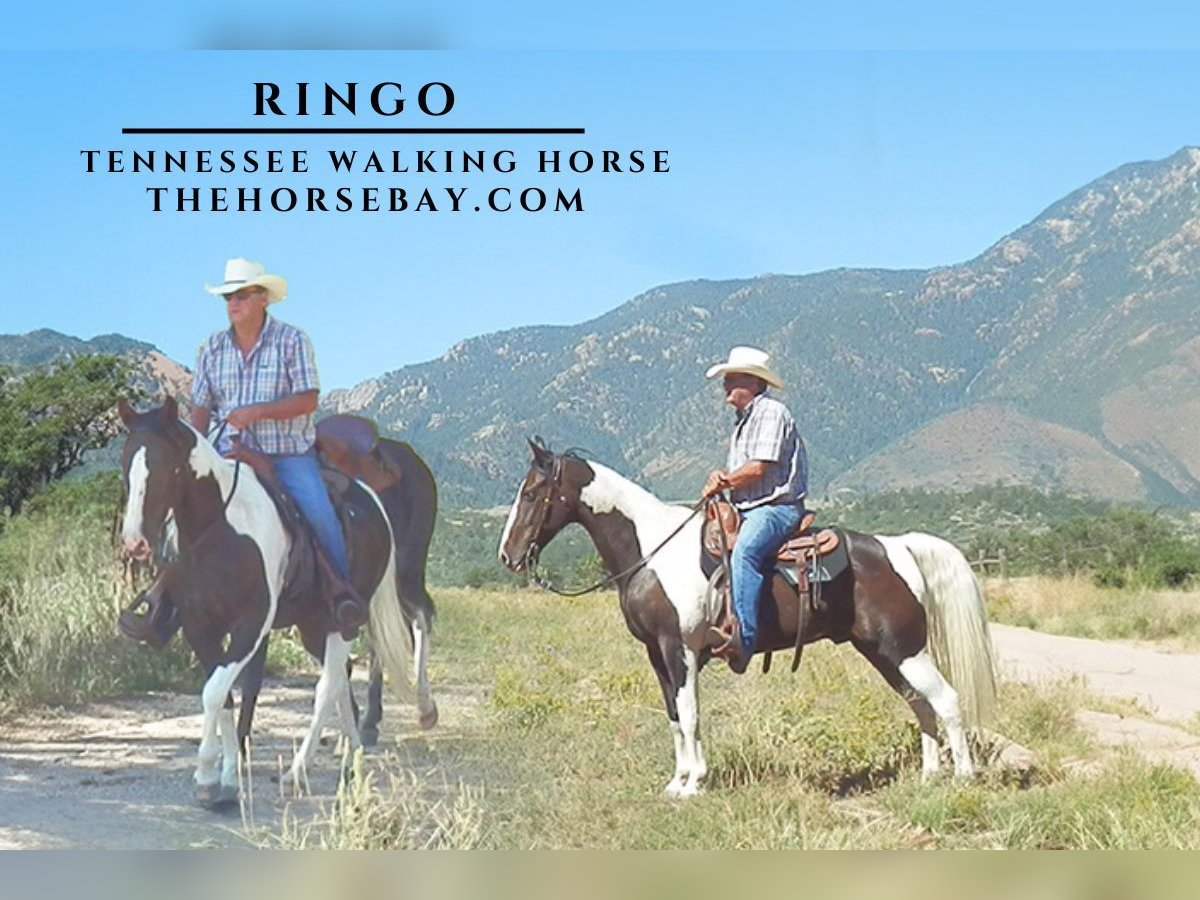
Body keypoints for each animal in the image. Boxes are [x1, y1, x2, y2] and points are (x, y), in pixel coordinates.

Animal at [117, 398, 415, 806]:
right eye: (124, 464)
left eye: (166, 466)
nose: (135, 542)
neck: (220, 530)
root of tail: (371, 498)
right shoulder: (199, 627)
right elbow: (223, 697)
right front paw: (226, 779)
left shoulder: (252, 624)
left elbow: (215, 692)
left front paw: (206, 775)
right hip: (312, 625)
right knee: (340, 679)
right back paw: (350, 761)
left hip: (344, 621)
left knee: (327, 687)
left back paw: (297, 773)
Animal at [496, 441, 993, 801]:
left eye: (532, 493)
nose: (508, 556)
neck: (651, 552)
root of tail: (898, 546)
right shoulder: (657, 653)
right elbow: (674, 716)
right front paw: (677, 781)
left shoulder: (680, 648)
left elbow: (690, 714)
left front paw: (694, 783)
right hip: (884, 652)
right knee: (920, 704)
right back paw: (929, 777)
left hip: (905, 650)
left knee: (947, 701)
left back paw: (962, 779)